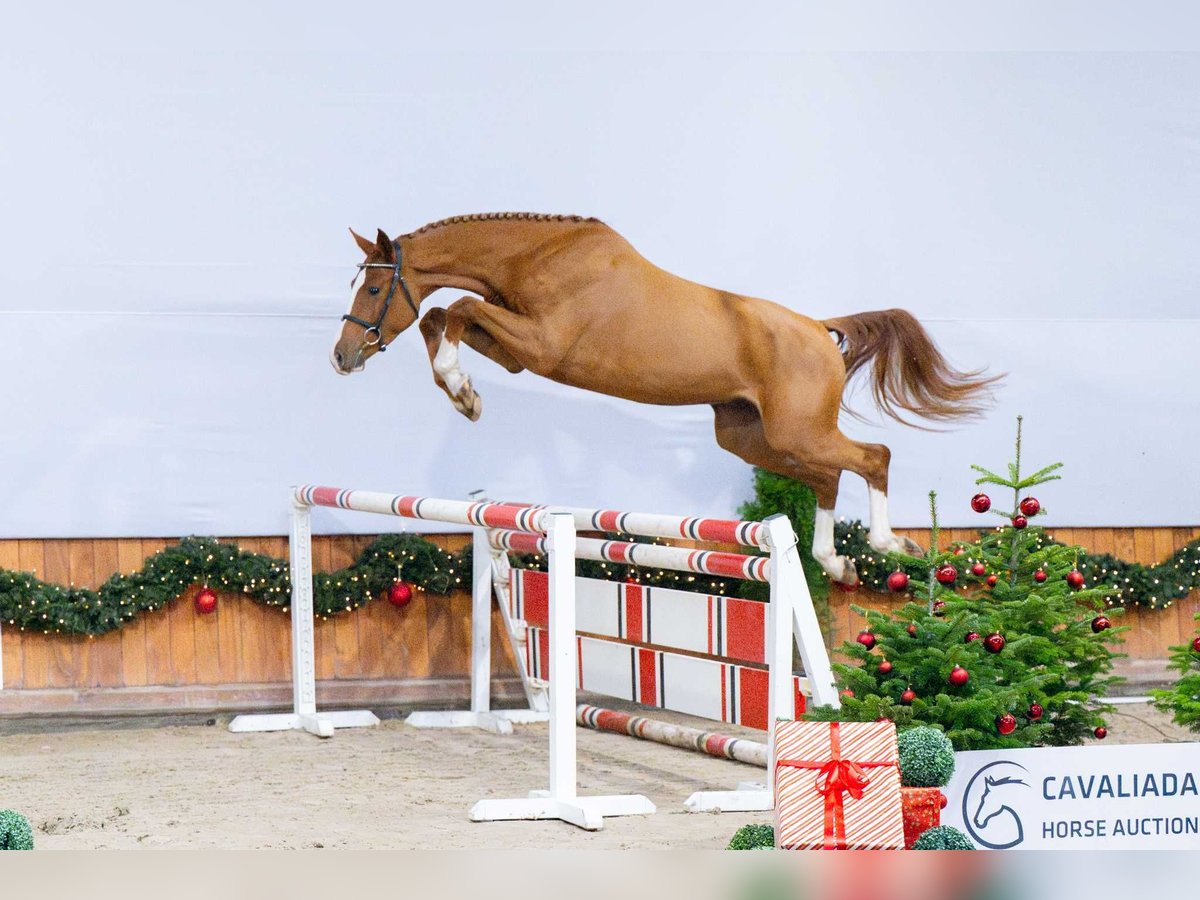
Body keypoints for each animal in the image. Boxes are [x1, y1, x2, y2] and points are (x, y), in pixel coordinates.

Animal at [330, 213, 999, 584]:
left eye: (373, 288)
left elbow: (460, 307)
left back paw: (891, 545)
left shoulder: (543, 346)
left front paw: (463, 393)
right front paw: (462, 393)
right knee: (829, 477)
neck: (535, 258)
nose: (342, 356)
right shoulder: (518, 350)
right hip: (748, 437)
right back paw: (836, 564)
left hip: (796, 431)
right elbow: (441, 316)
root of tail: (818, 328)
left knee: (871, 457)